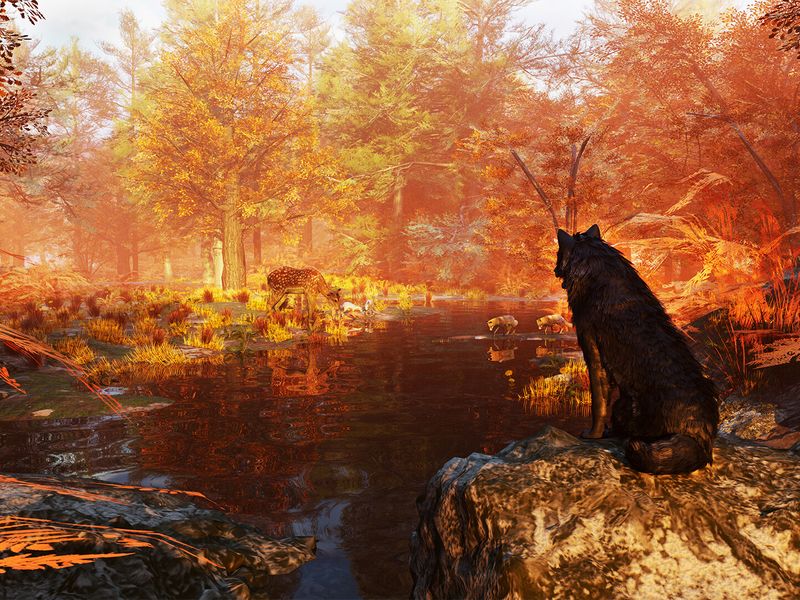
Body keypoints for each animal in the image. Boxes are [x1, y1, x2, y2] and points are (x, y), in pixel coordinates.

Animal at [555, 224, 718, 474]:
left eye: (558, 254)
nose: (554, 269)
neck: (599, 274)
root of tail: (701, 437)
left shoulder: (591, 347)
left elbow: (598, 403)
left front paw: (592, 435)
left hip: (623, 407)